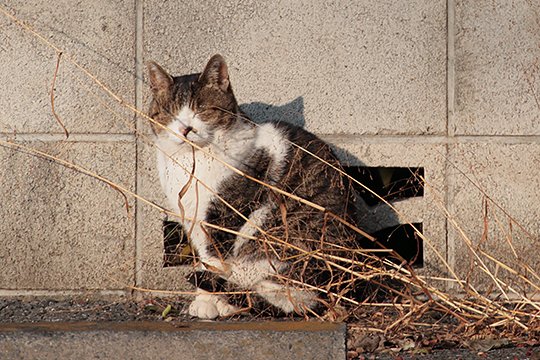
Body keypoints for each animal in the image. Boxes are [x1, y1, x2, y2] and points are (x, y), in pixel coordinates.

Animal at [147, 54, 368, 320]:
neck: (191, 162)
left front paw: (208, 302)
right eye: (169, 112)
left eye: (202, 109)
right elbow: (204, 258)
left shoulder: (223, 217)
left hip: (281, 242)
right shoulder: (192, 218)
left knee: (293, 299)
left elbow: (213, 260)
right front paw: (207, 298)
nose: (185, 129)